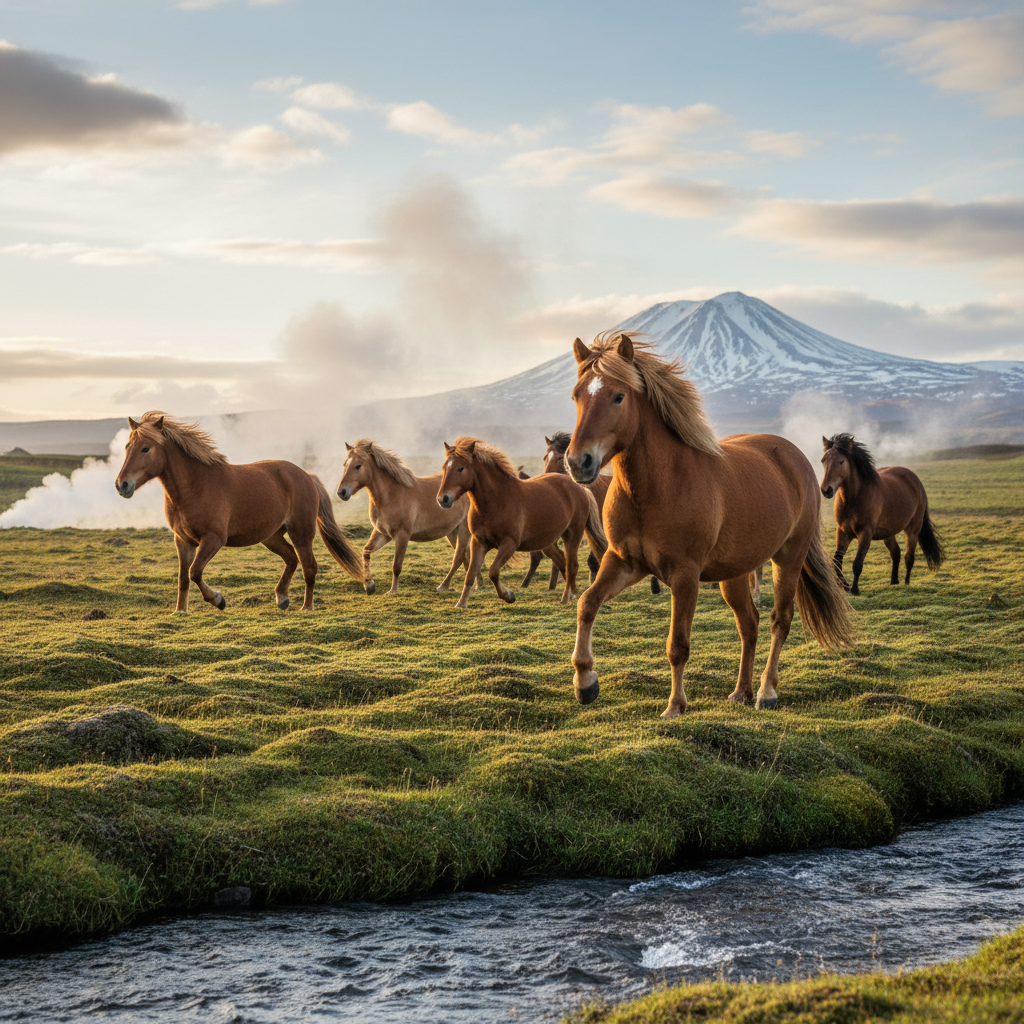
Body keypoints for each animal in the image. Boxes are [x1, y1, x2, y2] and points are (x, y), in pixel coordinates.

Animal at [115, 412, 364, 612]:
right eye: (127, 447)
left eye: (145, 448)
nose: (122, 485)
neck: (195, 486)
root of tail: (306, 475)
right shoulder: (183, 541)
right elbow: (183, 578)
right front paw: (180, 612)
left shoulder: (213, 539)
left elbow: (195, 572)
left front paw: (218, 599)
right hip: (272, 537)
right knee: (291, 559)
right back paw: (282, 598)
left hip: (301, 533)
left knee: (309, 567)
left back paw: (306, 607)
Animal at [337, 438, 480, 596]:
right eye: (344, 465)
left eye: (358, 466)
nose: (341, 492)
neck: (391, 495)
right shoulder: (382, 533)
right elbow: (366, 552)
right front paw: (369, 586)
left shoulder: (402, 535)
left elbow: (396, 565)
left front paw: (392, 591)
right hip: (452, 532)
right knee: (468, 557)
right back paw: (476, 586)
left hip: (463, 530)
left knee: (459, 557)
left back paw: (443, 586)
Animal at [436, 437, 607, 610]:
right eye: (444, 467)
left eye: (460, 468)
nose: (443, 499)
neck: (496, 500)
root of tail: (579, 487)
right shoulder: (479, 542)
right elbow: (471, 573)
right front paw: (461, 603)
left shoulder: (509, 544)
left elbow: (493, 571)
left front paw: (508, 595)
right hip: (548, 542)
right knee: (562, 562)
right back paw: (572, 594)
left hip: (572, 535)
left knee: (572, 566)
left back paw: (566, 597)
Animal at [565, 333, 853, 717]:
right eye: (576, 395)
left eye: (618, 396)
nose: (578, 462)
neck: (656, 487)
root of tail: (795, 457)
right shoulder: (624, 562)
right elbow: (587, 604)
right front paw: (585, 682)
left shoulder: (685, 575)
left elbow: (678, 644)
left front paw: (675, 705)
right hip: (734, 573)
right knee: (749, 624)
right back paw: (741, 691)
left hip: (788, 559)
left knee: (779, 620)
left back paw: (766, 692)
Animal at [820, 433, 945, 595]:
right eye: (823, 460)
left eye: (841, 461)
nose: (826, 490)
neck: (855, 497)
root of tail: (914, 479)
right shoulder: (843, 532)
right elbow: (836, 561)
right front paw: (845, 586)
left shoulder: (865, 533)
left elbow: (857, 563)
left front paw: (854, 589)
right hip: (888, 533)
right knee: (896, 553)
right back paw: (894, 581)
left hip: (913, 529)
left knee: (909, 557)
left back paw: (906, 583)